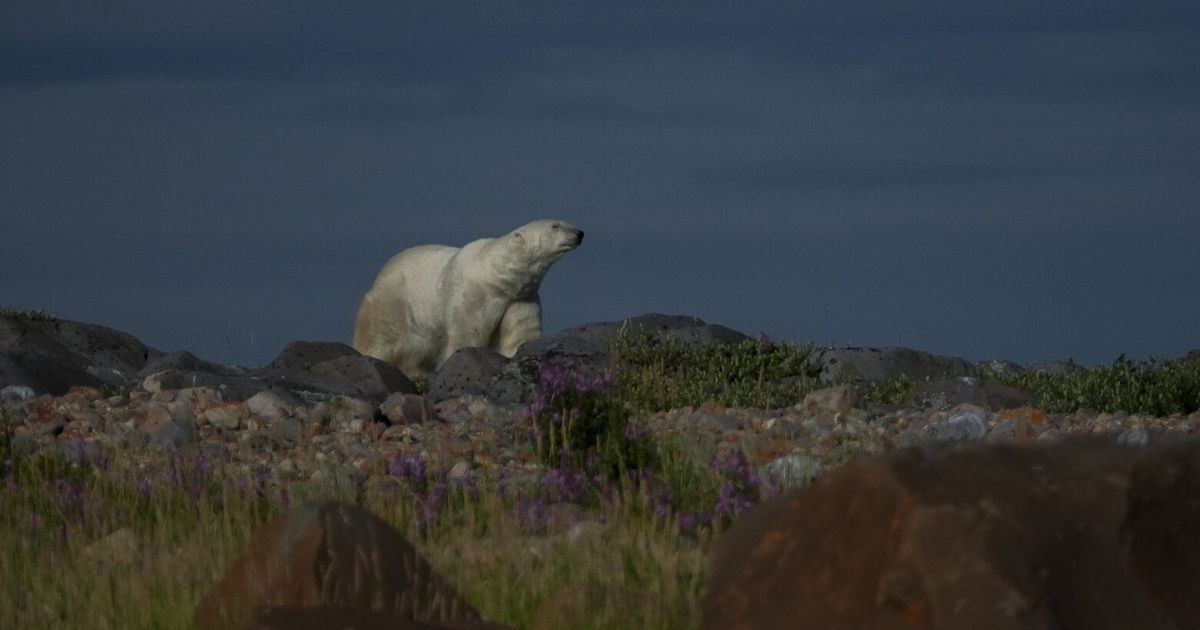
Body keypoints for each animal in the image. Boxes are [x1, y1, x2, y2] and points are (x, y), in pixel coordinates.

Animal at [350, 218, 585, 376]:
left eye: (564, 222)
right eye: (555, 226)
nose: (579, 233)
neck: (498, 276)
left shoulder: (521, 297)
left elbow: (519, 333)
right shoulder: (474, 294)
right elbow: (466, 331)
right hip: (392, 304)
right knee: (380, 339)